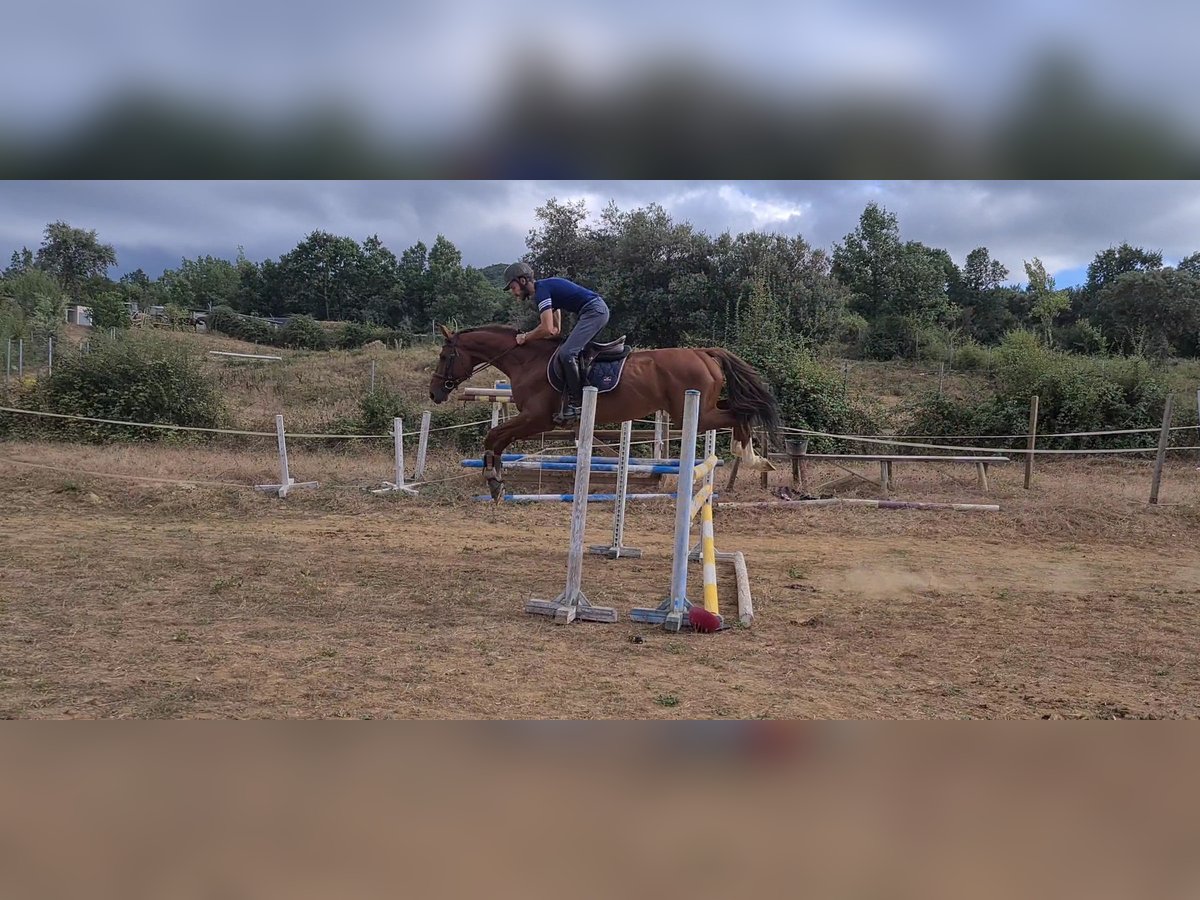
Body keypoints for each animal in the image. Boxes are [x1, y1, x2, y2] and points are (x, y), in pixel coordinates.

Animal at [429, 326, 777, 501]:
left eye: (445, 356)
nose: (434, 393)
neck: (527, 360)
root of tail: (702, 353)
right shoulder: (531, 420)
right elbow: (497, 440)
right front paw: (497, 480)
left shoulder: (536, 418)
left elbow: (493, 436)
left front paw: (493, 478)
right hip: (700, 409)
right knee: (738, 411)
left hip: (694, 413)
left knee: (739, 415)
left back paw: (752, 458)